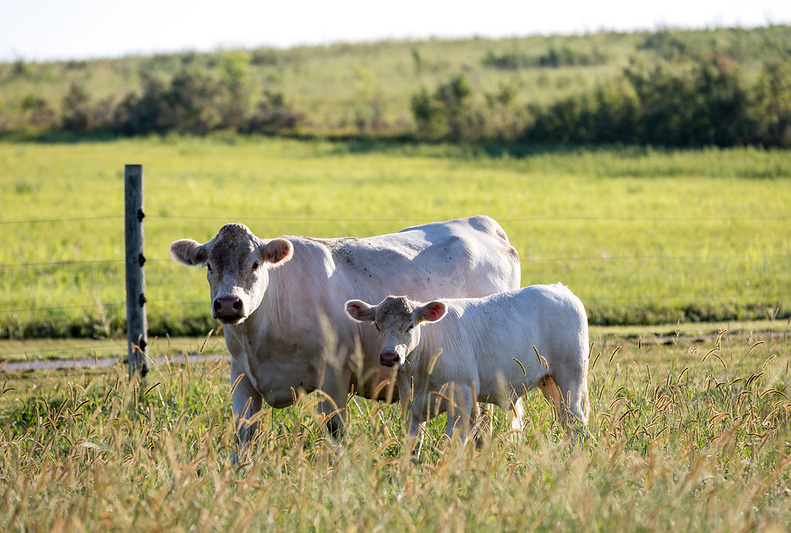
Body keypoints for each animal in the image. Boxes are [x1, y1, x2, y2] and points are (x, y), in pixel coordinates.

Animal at [170, 214, 520, 442]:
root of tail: (483, 223)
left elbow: (334, 429)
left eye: (255, 264)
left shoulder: (334, 373)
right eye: (209, 266)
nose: (229, 304)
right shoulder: (241, 375)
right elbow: (243, 433)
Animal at [344, 284, 592, 442]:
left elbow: (451, 442)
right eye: (377, 325)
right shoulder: (411, 404)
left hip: (571, 376)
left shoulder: (461, 398)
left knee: (576, 419)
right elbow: (413, 445)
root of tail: (560, 288)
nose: (389, 356)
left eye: (411, 326)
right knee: (564, 418)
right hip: (549, 382)